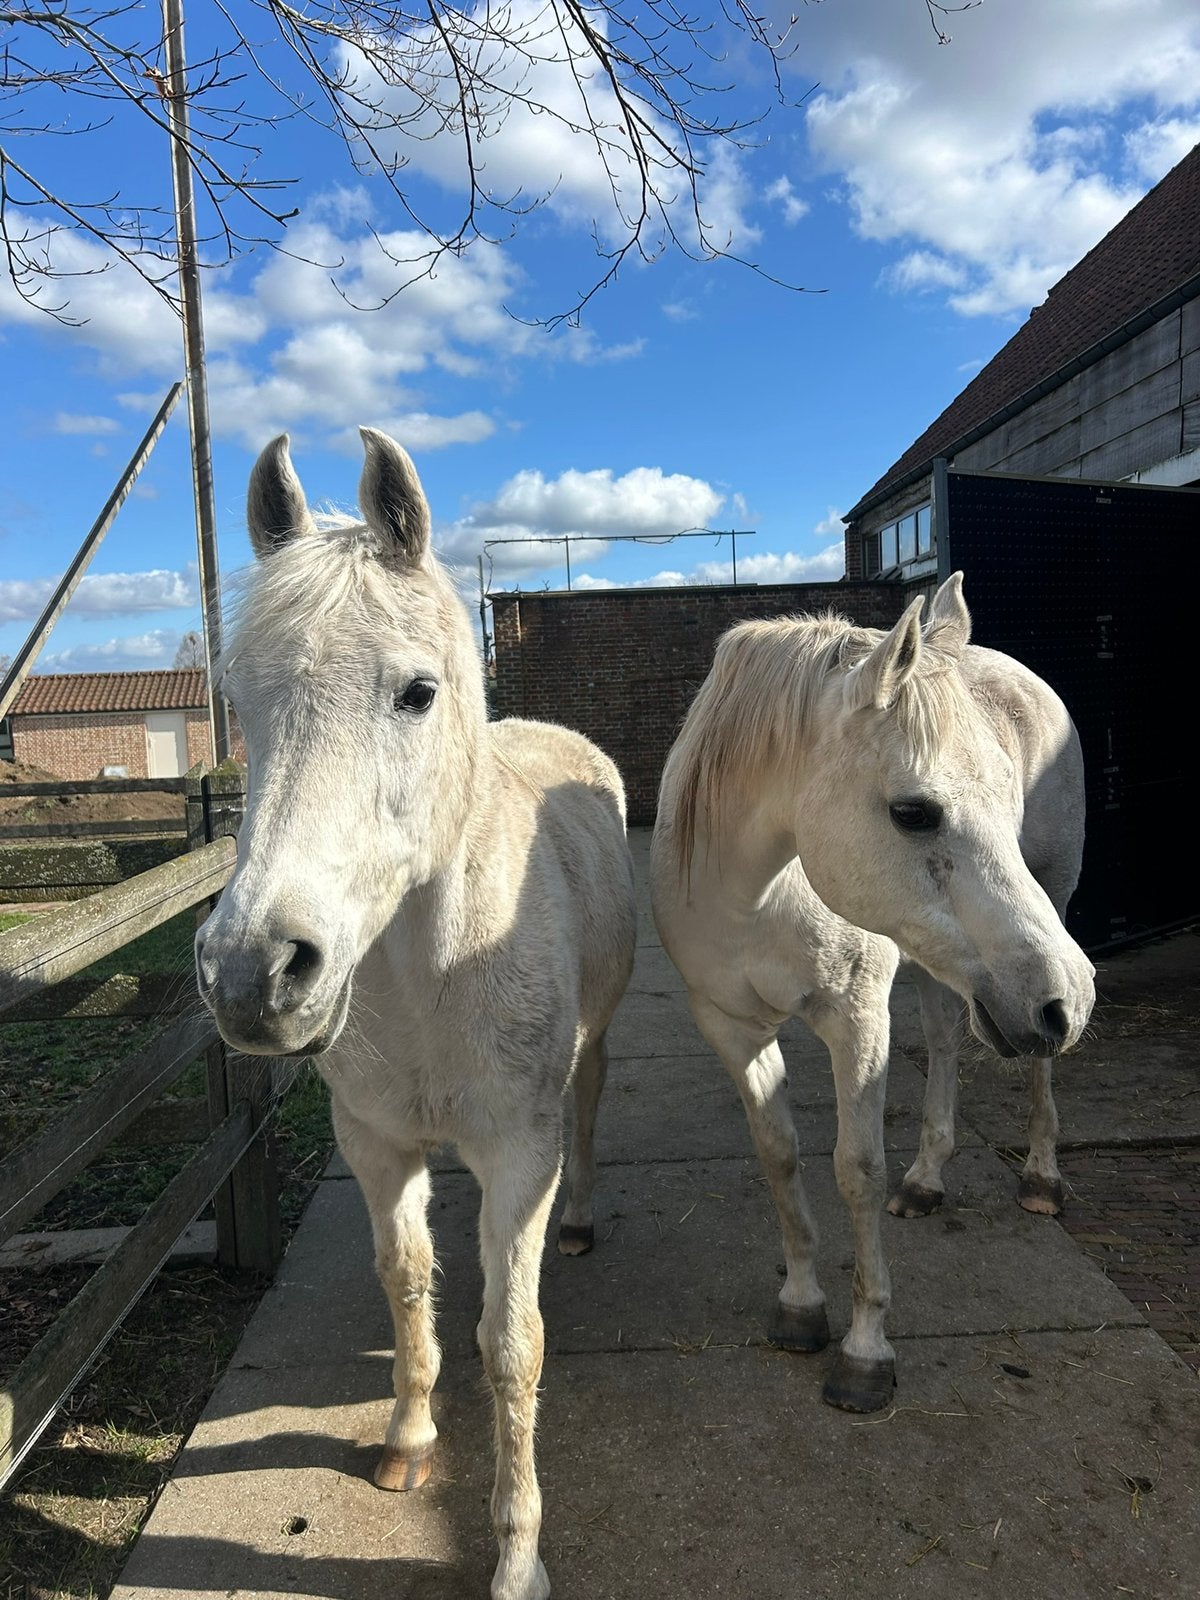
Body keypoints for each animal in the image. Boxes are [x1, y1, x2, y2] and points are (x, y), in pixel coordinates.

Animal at [195, 428, 637, 1600]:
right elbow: (407, 1284)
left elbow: (512, 1342)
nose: (253, 973)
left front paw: (518, 1552)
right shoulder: (377, 1145)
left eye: (416, 692)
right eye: (241, 698)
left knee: (590, 1108)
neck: (432, 969)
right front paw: (408, 1435)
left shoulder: (518, 1153)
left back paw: (582, 1215)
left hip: (594, 1047)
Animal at [649, 574, 1094, 1413]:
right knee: (950, 1042)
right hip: (947, 972)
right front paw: (800, 1305)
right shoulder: (733, 1027)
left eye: (1006, 799)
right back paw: (927, 1179)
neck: (763, 892)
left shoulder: (856, 1022)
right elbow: (779, 1154)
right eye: (914, 812)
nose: (1072, 1000)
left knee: (1040, 1067)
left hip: (1043, 914)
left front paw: (865, 1351)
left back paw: (1041, 1174)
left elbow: (856, 1170)